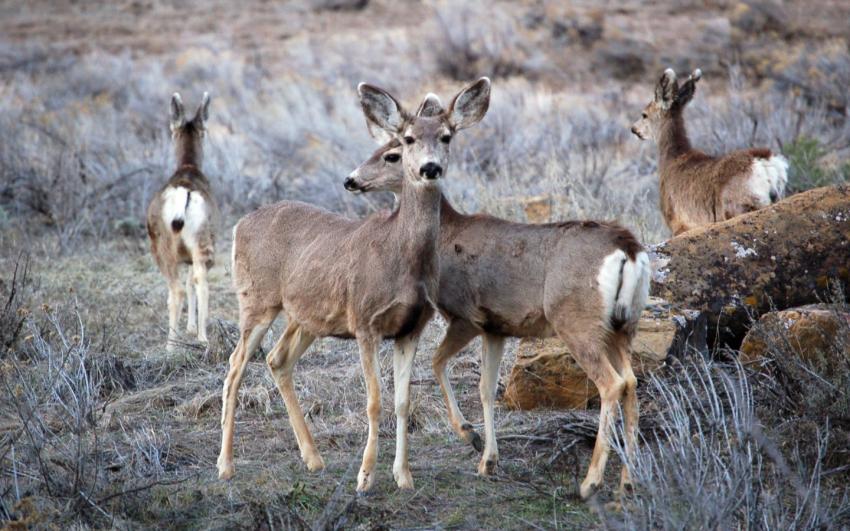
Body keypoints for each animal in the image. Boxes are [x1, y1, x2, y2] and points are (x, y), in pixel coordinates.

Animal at [147, 93, 219, 354]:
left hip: (164, 247)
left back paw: (172, 344)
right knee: (200, 280)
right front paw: (191, 329)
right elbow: (191, 281)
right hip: (202, 240)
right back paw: (202, 338)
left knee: (178, 289)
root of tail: (184, 195)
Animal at [217, 79, 490, 494]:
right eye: (407, 140)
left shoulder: (412, 327)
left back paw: (313, 458)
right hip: (257, 299)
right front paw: (365, 476)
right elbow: (374, 401)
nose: (430, 167)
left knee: (277, 359)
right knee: (235, 366)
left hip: (307, 315)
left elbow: (402, 401)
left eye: (446, 136)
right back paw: (226, 465)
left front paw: (403, 476)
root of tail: (238, 225)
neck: (402, 260)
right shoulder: (364, 321)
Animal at [342, 136, 648, 498]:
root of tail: (628, 249)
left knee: (612, 383)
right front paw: (488, 460)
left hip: (578, 323)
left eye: (392, 155)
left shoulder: (466, 316)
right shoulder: (496, 328)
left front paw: (469, 434)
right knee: (631, 381)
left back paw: (591, 482)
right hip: (623, 326)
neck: (445, 235)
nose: (351, 180)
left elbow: (437, 363)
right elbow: (487, 388)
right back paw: (628, 481)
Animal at [628, 69, 788, 236]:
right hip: (776, 195)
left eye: (644, 114)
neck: (672, 158)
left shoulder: (678, 222)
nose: (633, 129)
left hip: (738, 204)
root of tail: (764, 162)